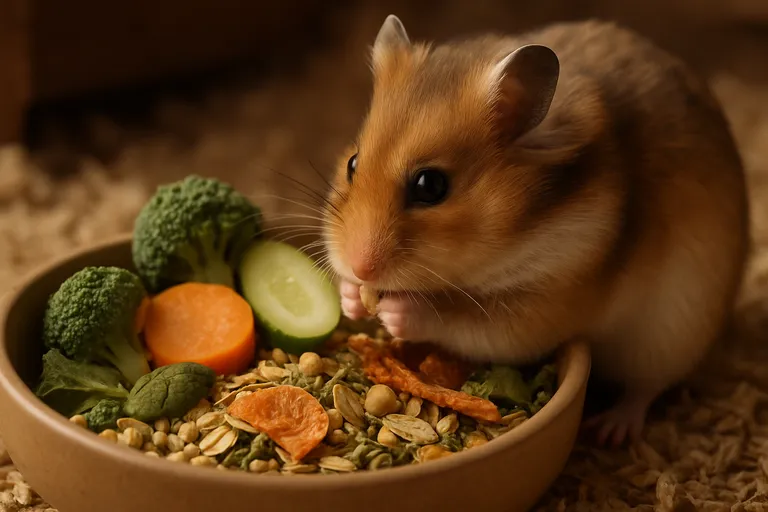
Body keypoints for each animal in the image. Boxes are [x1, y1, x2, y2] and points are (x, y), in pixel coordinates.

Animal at [321, 15, 750, 447]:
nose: (360, 269)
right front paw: (351, 298)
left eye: (431, 186)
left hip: (671, 334)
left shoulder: (544, 303)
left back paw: (609, 430)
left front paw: (394, 310)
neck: (520, 232)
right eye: (353, 164)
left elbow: (459, 319)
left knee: (645, 389)